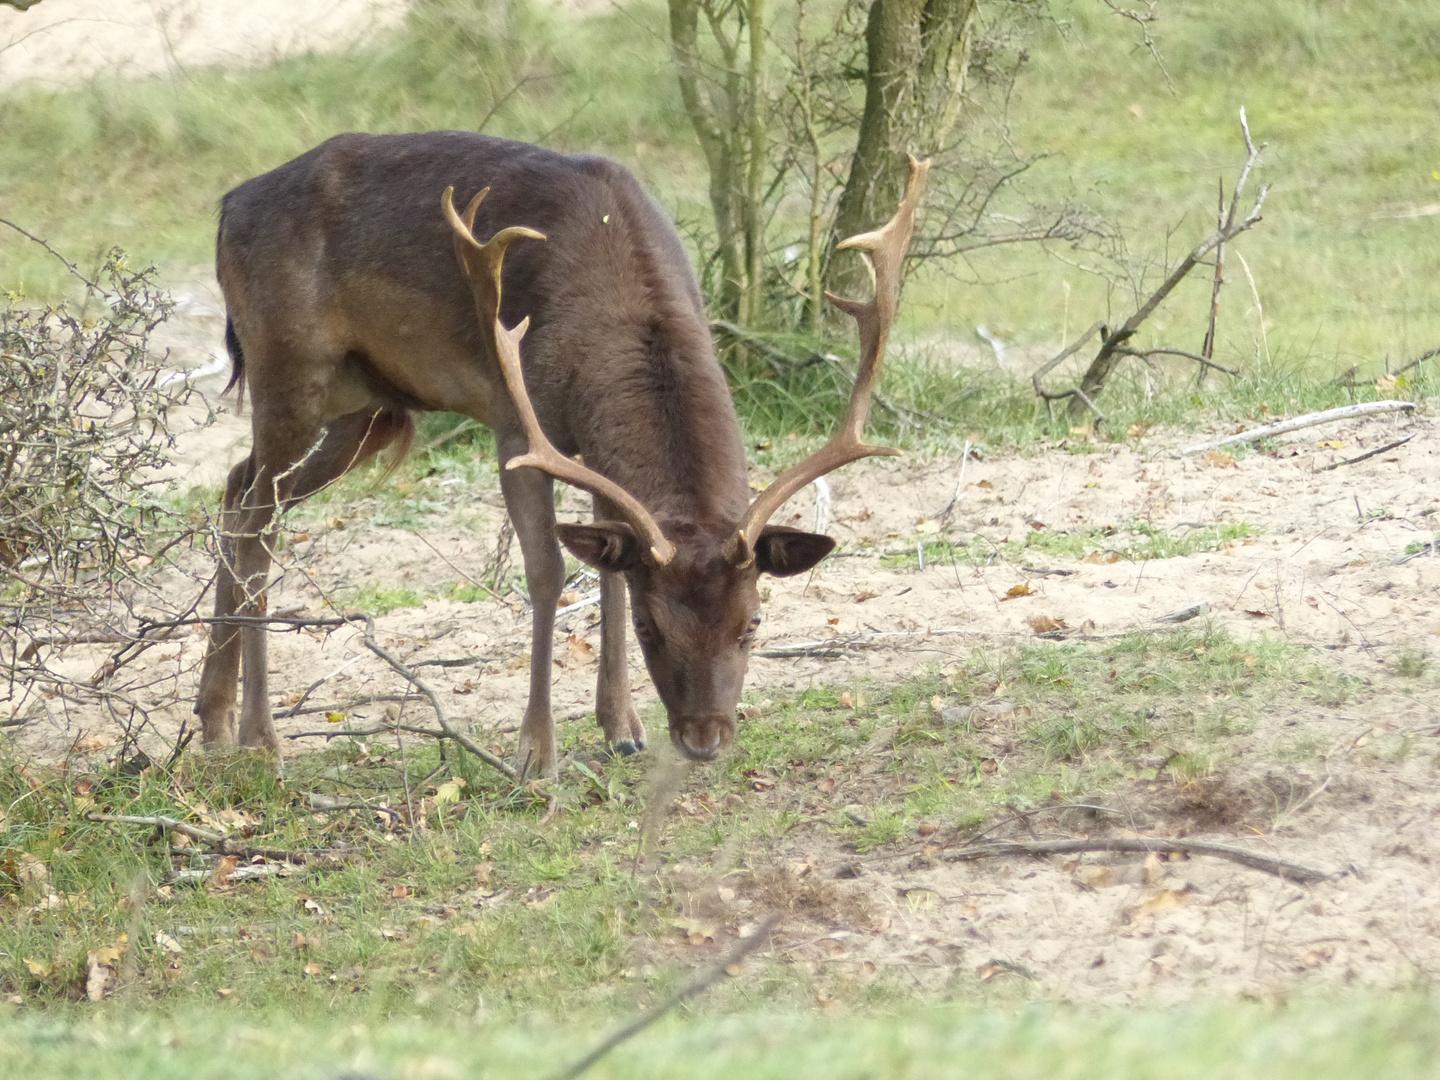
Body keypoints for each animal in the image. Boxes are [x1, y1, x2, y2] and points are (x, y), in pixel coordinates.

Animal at [194, 133, 921, 777]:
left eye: (753, 623)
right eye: (654, 631)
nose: (705, 739)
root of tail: (228, 205)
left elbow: (610, 571)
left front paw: (622, 729)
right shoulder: (517, 425)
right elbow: (548, 572)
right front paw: (535, 753)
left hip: (364, 407)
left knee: (235, 487)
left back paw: (213, 721)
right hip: (288, 370)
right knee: (258, 519)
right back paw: (260, 740)